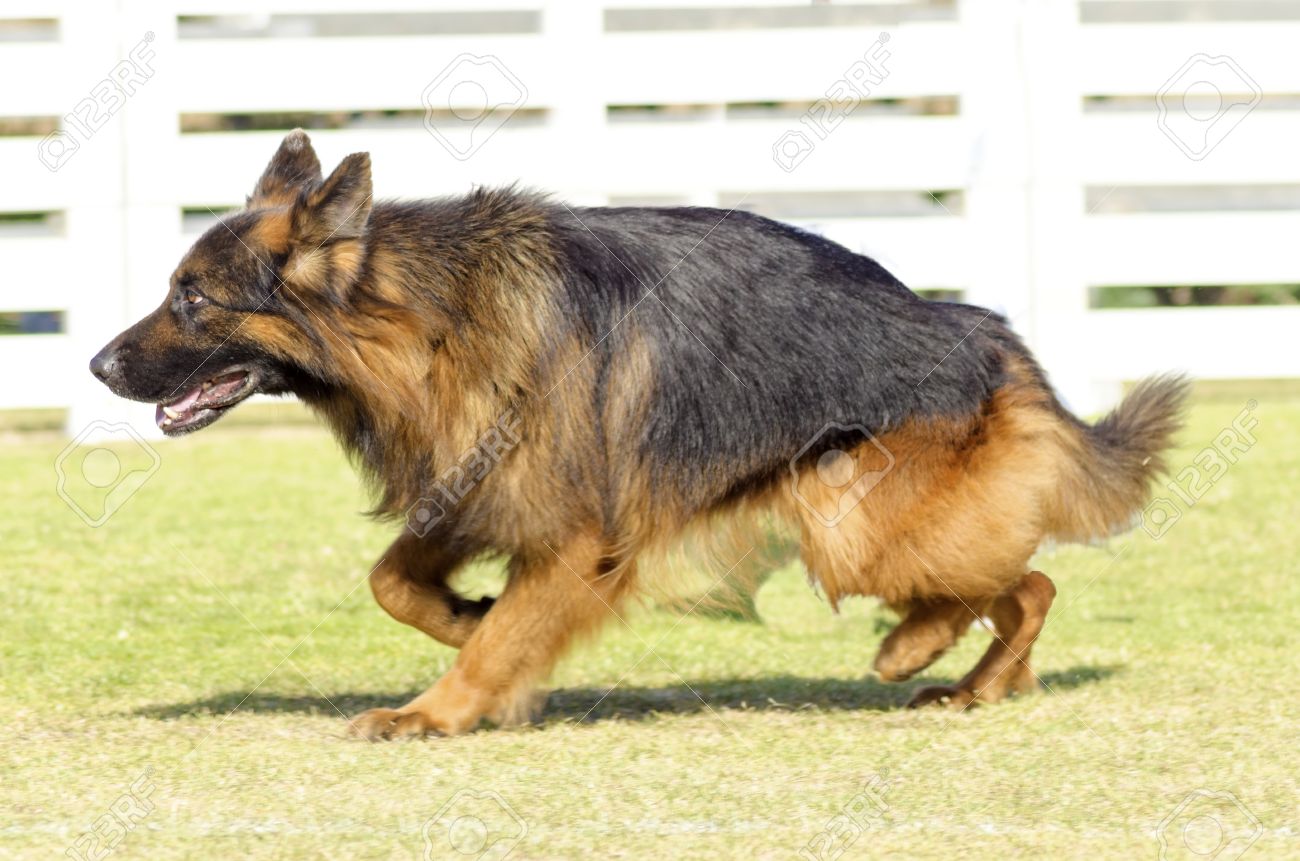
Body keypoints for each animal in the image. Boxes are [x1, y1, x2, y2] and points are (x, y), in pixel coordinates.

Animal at [91, 131, 1190, 738]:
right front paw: (469, 617)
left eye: (191, 299)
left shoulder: (573, 527)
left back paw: (921, 650)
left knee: (1026, 583)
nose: (97, 365)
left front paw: (435, 711)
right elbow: (397, 581)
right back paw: (974, 681)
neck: (428, 320)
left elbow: (495, 633)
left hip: (849, 512)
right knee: (1013, 584)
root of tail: (984, 330)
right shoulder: (480, 487)